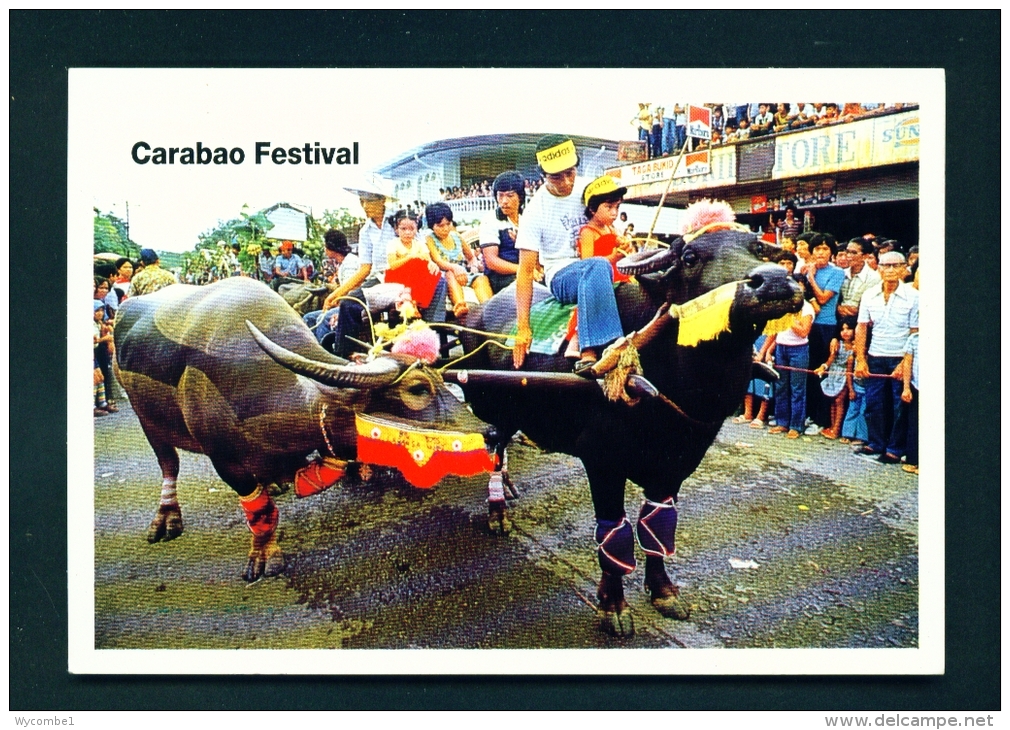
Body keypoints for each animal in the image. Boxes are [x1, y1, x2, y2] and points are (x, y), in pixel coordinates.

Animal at [114, 278, 496, 581]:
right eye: (417, 389)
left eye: (442, 381)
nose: (490, 433)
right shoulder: (225, 461)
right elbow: (261, 511)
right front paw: (264, 555)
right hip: (145, 419)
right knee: (168, 464)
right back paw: (166, 519)